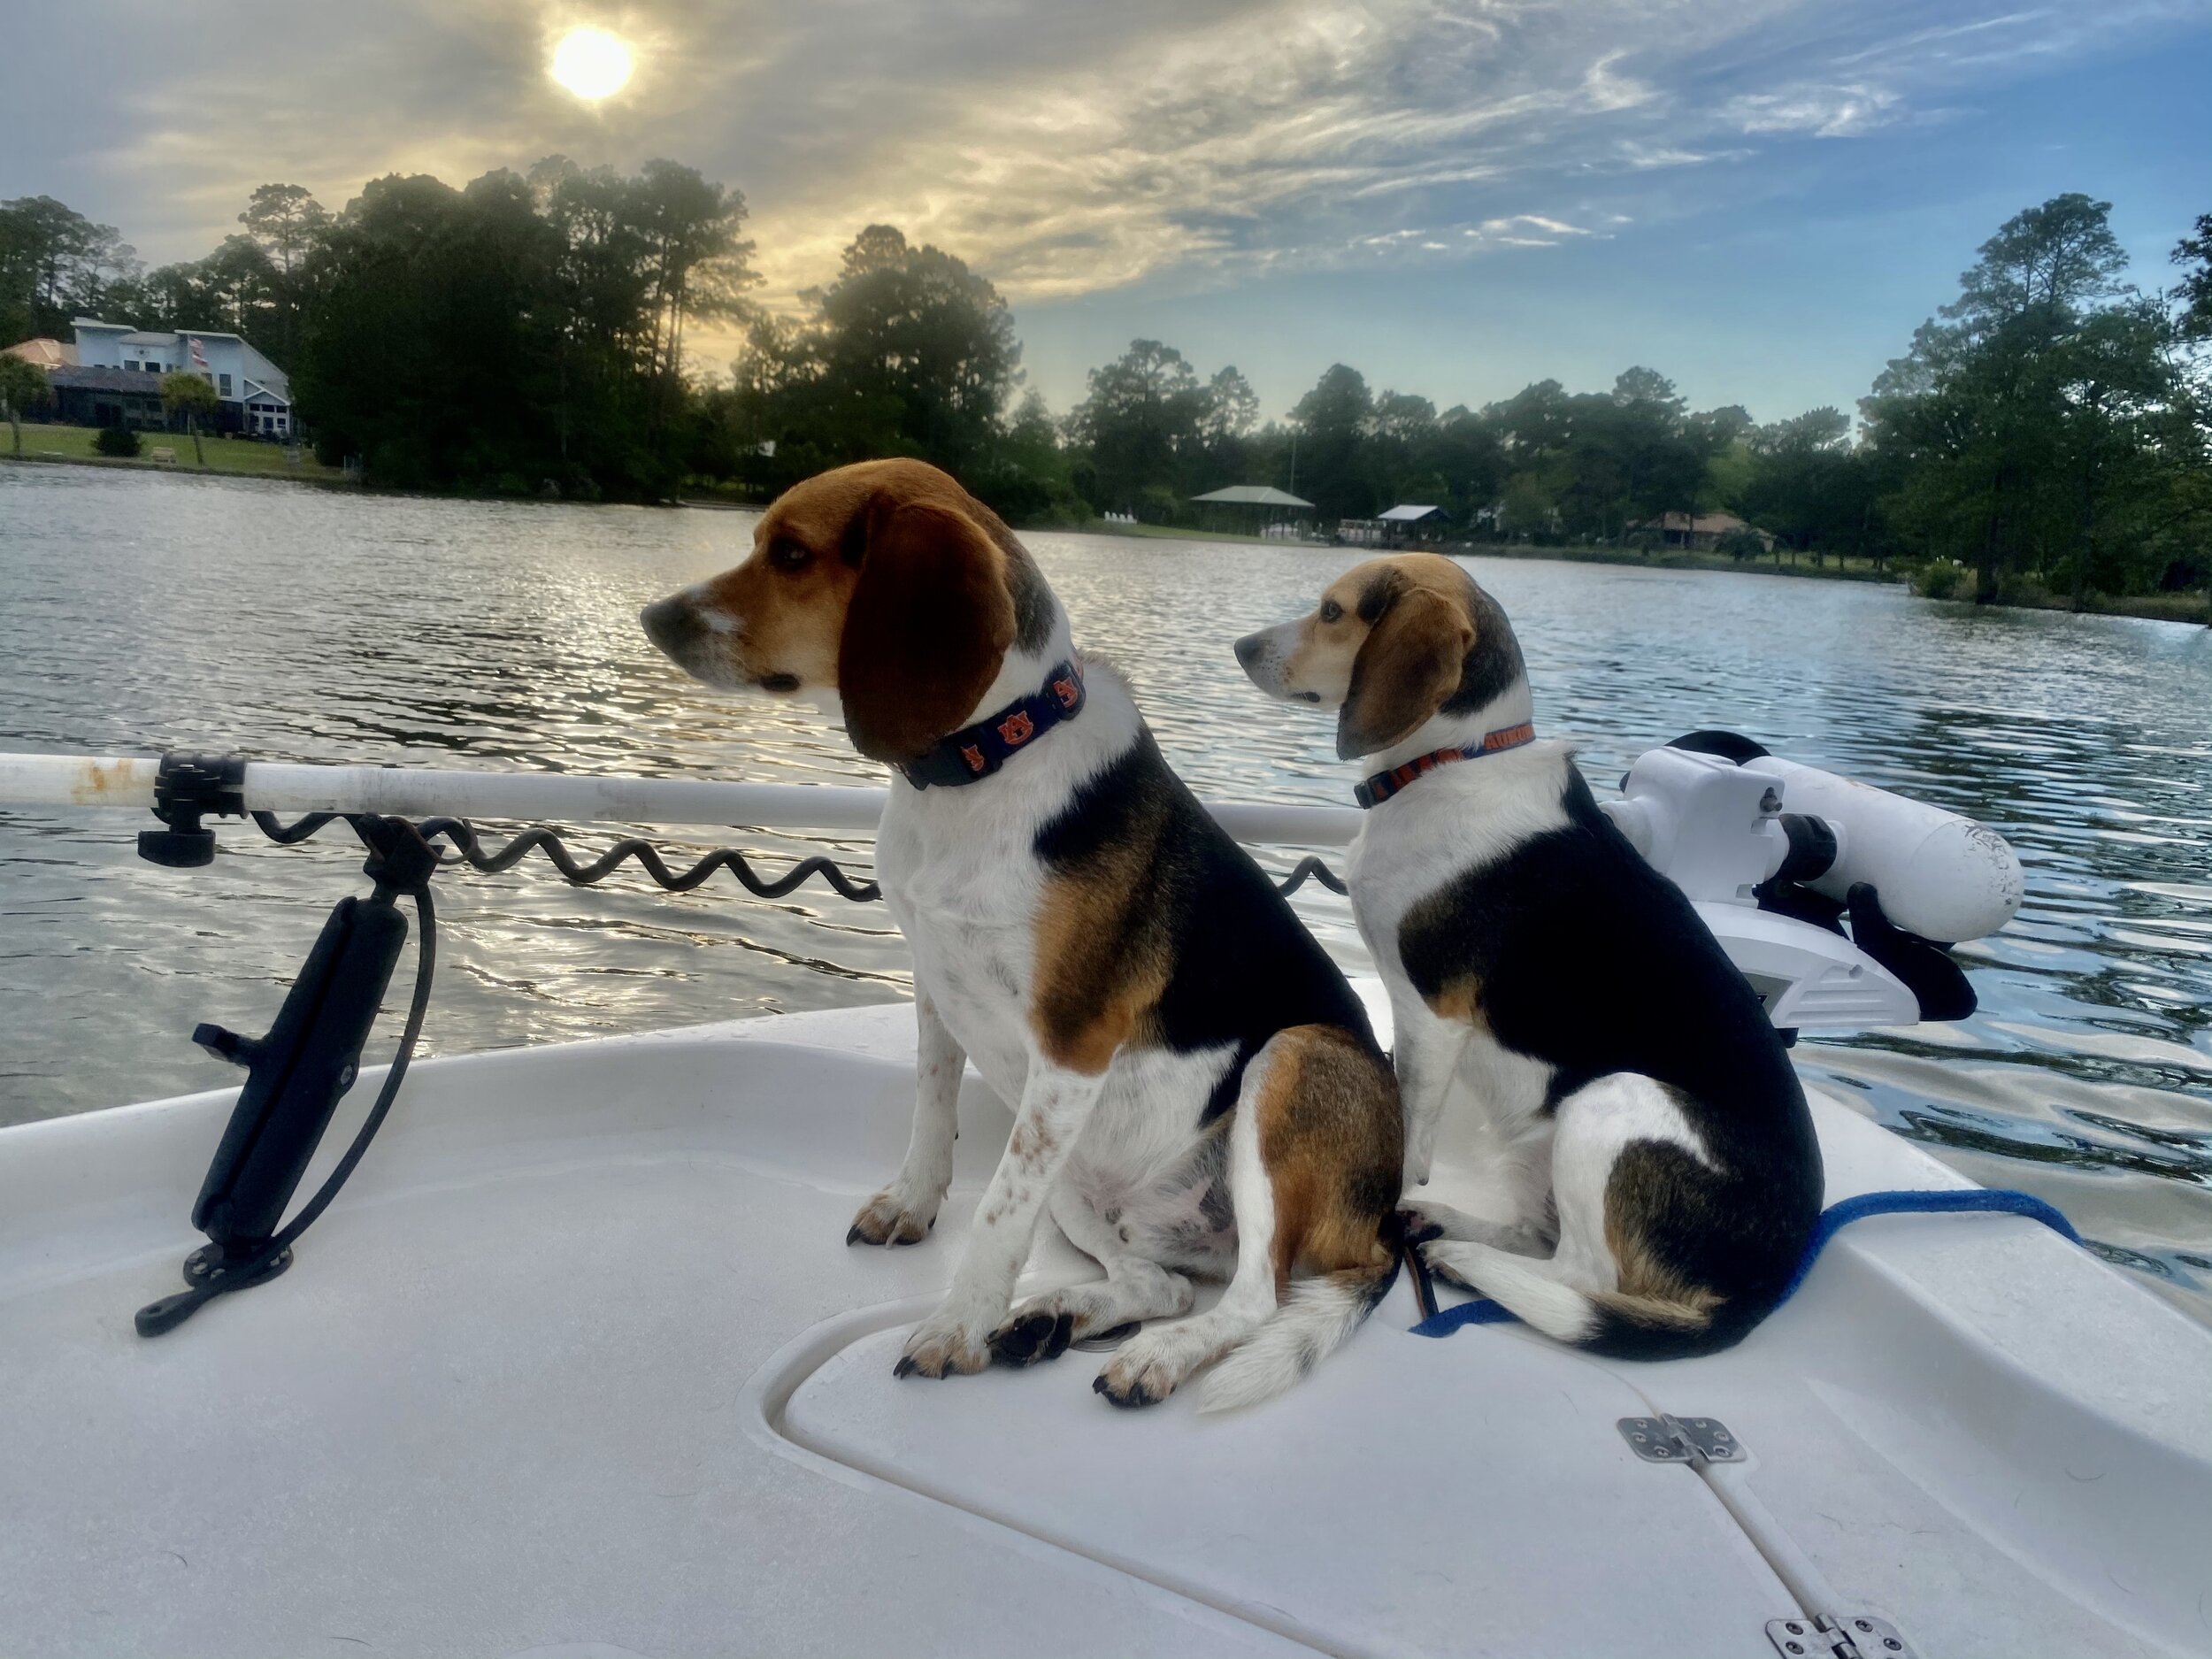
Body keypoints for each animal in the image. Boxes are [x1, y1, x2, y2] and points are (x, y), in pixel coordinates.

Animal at [641, 462, 1398, 1407]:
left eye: (789, 553)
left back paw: (1154, 1356)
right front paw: (913, 1205)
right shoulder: (936, 983)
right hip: (1084, 1186)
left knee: (1257, 1295)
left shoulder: (1072, 1044)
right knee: (1162, 1281)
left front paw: (956, 1328)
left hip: (1293, 1059)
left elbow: (998, 1214)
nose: (652, 617)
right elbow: (931, 1108)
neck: (979, 765)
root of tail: (1383, 1229)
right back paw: (1054, 1317)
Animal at [1239, 559, 1823, 1363]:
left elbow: (1409, 1127)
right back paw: (1451, 1226)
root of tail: (1767, 1282)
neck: (1454, 759)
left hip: (1612, 1100)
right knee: (1540, 1236)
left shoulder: (1430, 1014)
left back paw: (1463, 1256)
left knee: (1579, 1276)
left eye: (1334, 611)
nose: (1240, 646)